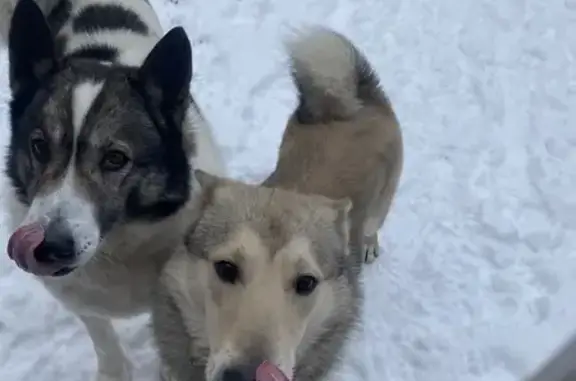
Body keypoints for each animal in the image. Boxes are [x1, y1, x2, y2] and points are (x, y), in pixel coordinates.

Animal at [0, 0, 225, 380]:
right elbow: (101, 334)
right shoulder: (79, 296)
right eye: (39, 146)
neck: (119, 243)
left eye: (116, 158)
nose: (48, 247)